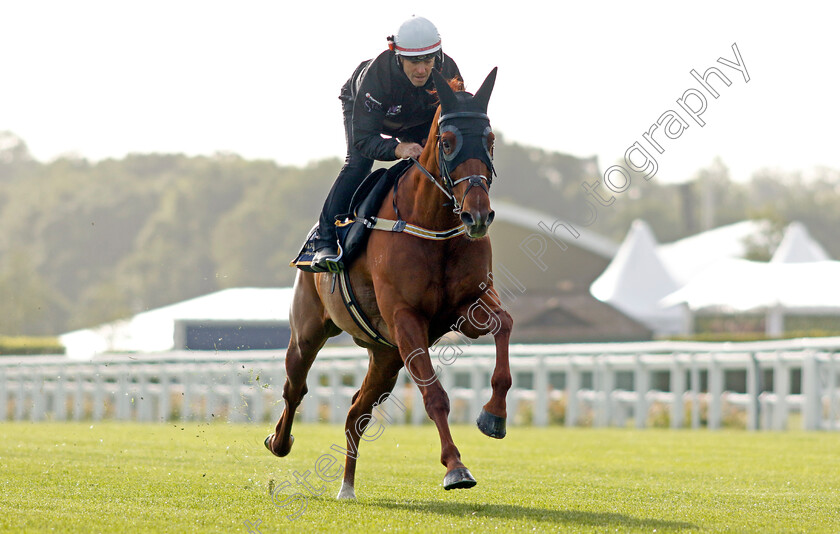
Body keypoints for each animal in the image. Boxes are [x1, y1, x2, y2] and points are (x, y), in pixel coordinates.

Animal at [266, 69, 512, 500]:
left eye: (490, 139)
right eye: (447, 142)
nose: (478, 216)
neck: (433, 224)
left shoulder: (468, 305)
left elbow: (506, 325)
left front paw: (493, 415)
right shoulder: (406, 317)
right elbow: (434, 396)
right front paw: (456, 467)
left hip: (386, 355)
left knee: (356, 412)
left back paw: (346, 486)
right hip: (309, 330)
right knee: (295, 387)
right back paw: (280, 442)